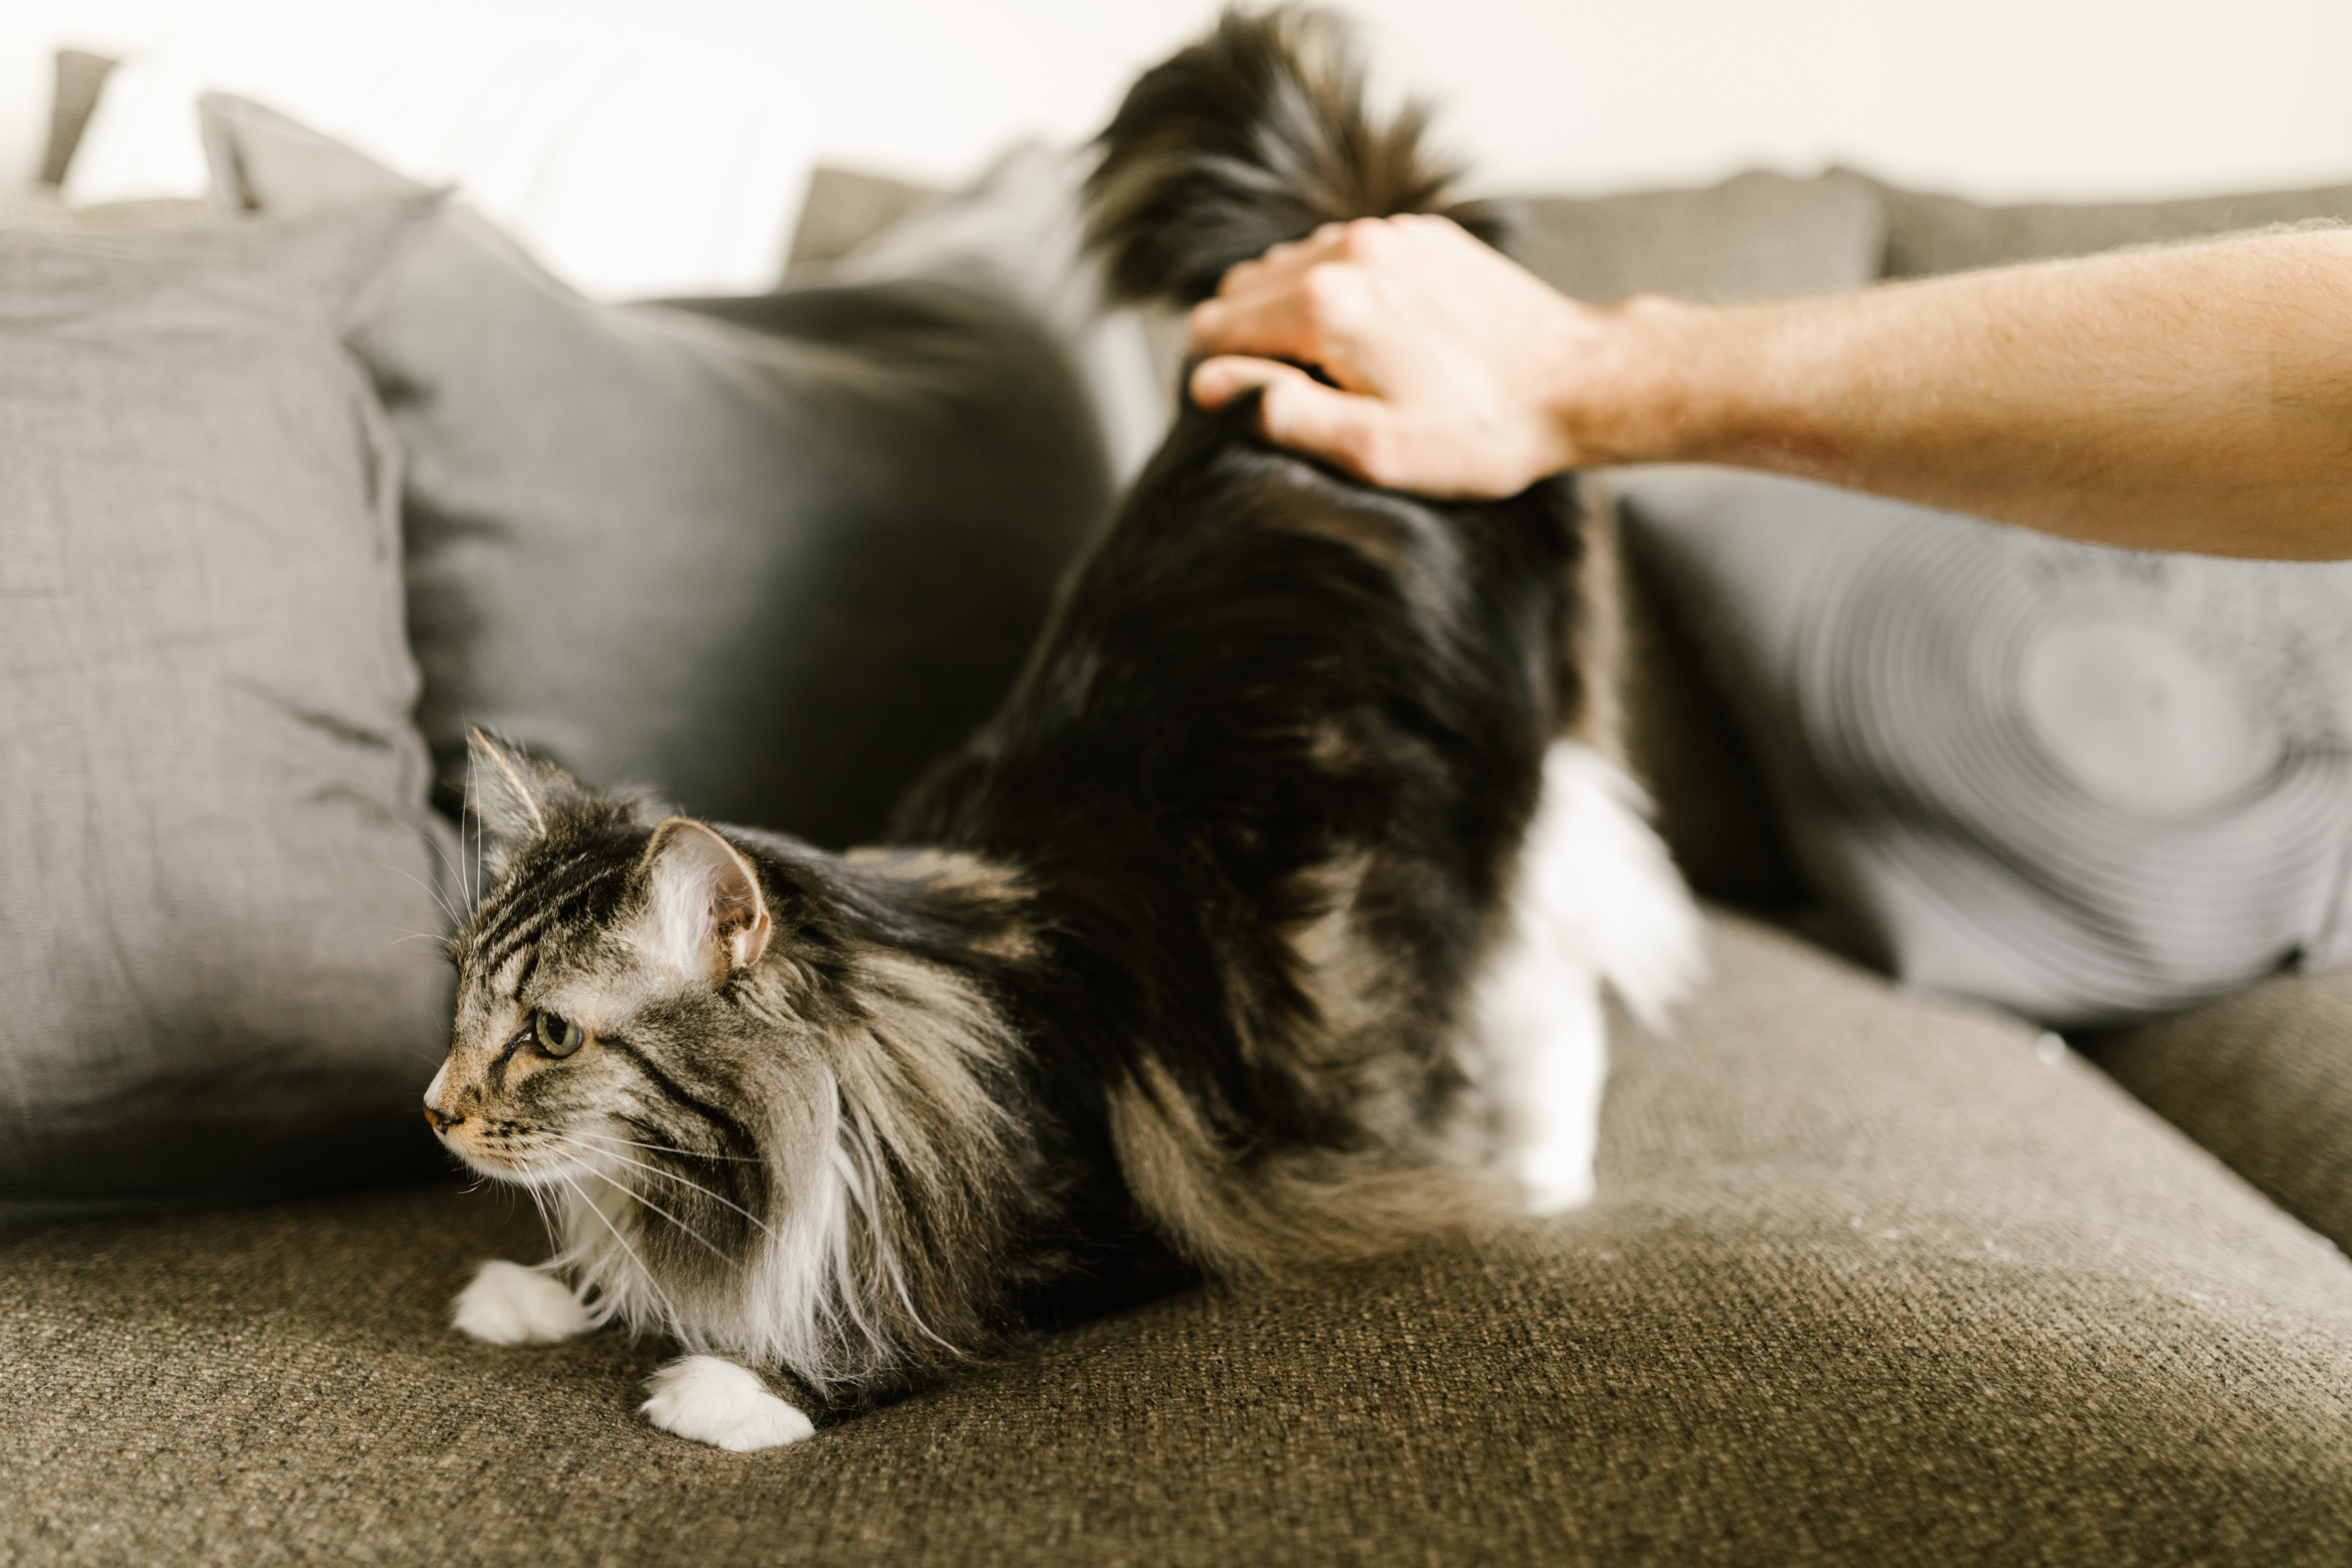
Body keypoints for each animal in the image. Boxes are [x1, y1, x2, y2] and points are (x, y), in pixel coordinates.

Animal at [428, 9, 1693, 1457]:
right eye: (466, 1006)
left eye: (553, 1036)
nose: (436, 1110)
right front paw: (547, 1290)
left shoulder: (1128, 1224)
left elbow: (939, 1305)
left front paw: (743, 1385)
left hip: (1500, 824)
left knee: (1561, 986)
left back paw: (1538, 1173)